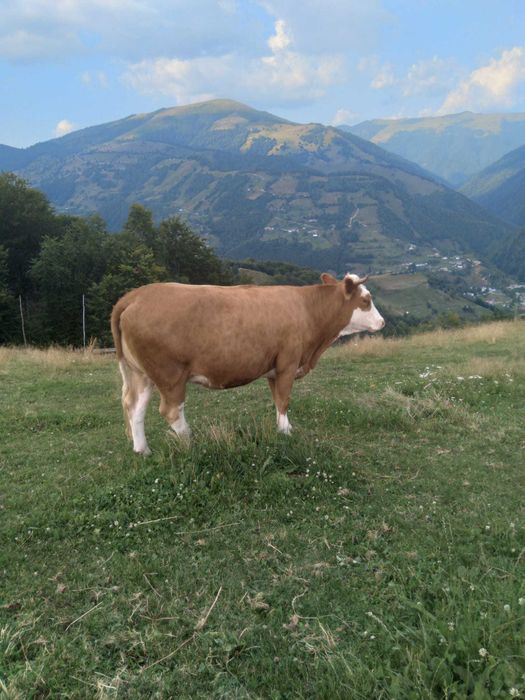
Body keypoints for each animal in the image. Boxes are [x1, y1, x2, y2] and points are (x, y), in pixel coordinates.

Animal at [111, 273, 384, 455]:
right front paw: (286, 432)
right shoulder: (288, 362)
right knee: (170, 410)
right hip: (170, 375)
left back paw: (142, 450)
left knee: (134, 407)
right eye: (366, 300)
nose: (382, 322)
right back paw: (190, 444)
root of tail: (136, 295)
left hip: (140, 374)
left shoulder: (274, 369)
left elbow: (277, 400)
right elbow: (284, 400)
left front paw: (282, 428)